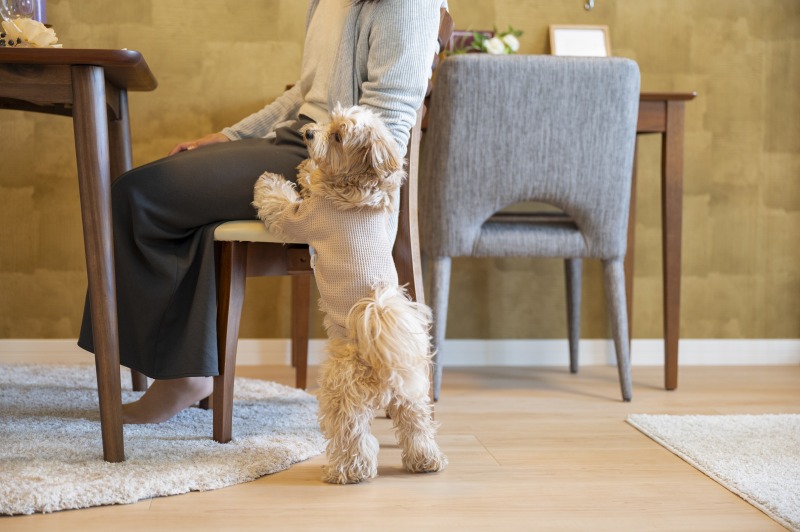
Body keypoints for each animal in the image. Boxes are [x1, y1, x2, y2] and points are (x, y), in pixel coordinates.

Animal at [253, 105, 446, 486]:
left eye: (339, 136)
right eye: (330, 120)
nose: (309, 133)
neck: (360, 196)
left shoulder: (303, 219)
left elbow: (281, 204)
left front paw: (274, 180)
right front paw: (308, 169)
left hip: (340, 390)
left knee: (353, 434)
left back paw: (346, 471)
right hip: (413, 394)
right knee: (416, 426)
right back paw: (425, 461)